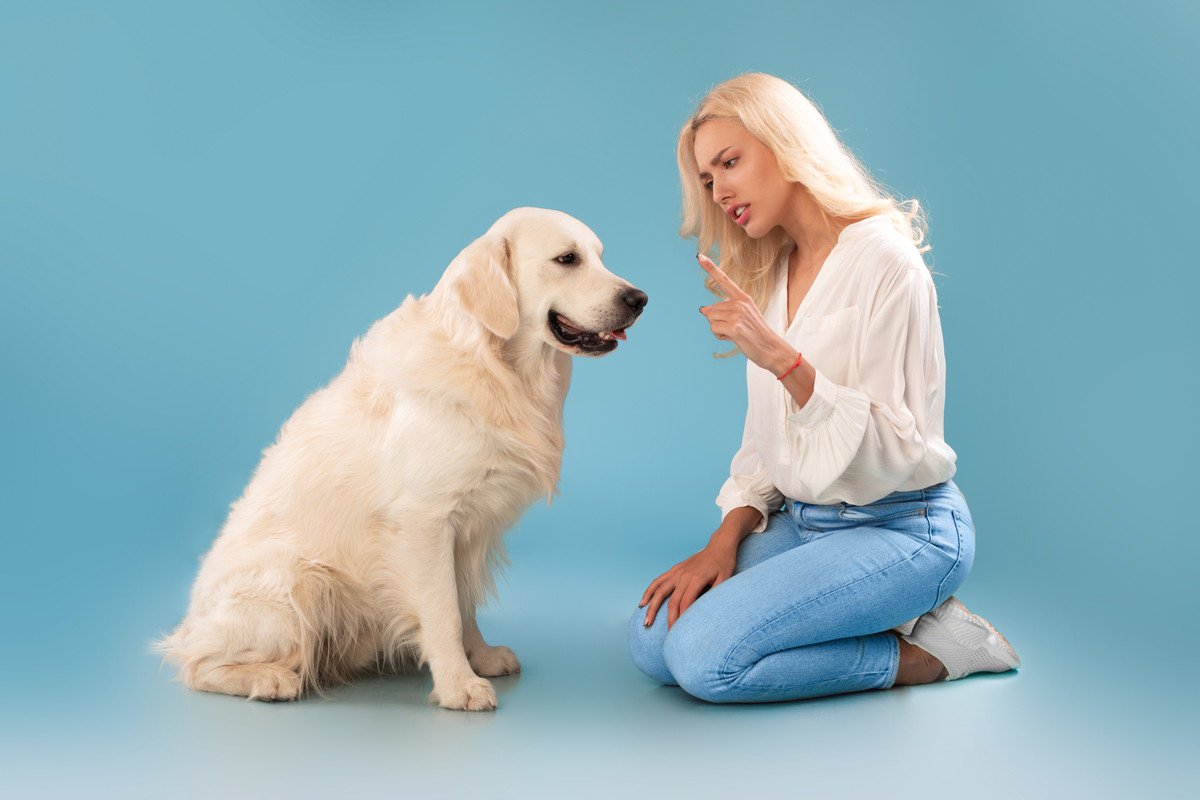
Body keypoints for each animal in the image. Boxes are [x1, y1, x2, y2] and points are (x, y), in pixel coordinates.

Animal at [159, 208, 648, 714]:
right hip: (298, 581)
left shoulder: (465, 532)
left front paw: (481, 657)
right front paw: (458, 685)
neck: (495, 368)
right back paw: (269, 679)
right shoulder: (424, 521)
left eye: (601, 257)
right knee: (197, 664)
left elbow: (464, 604)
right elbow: (444, 611)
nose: (640, 299)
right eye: (567, 259)